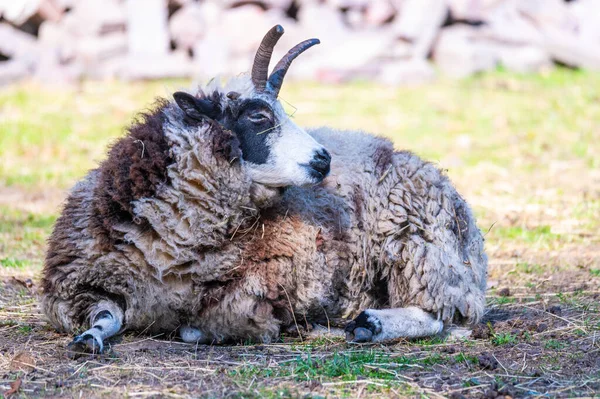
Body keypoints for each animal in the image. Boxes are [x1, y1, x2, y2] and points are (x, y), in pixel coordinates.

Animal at [41, 25, 488, 354]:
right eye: (257, 116)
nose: (324, 160)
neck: (167, 252)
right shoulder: (73, 287)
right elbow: (105, 316)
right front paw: (88, 340)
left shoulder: (257, 290)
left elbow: (199, 326)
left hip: (419, 247)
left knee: (438, 314)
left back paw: (370, 325)